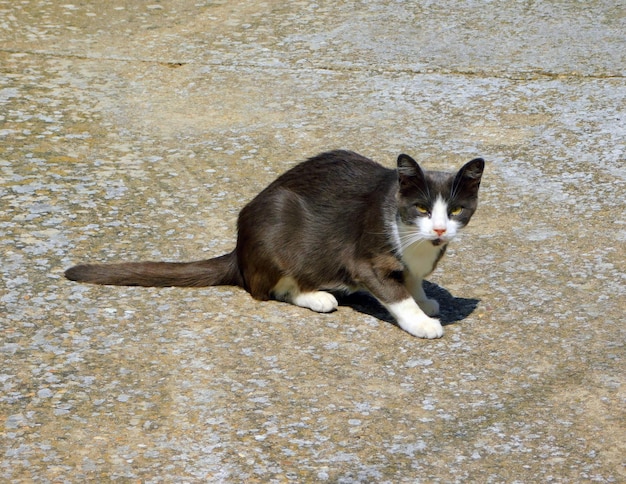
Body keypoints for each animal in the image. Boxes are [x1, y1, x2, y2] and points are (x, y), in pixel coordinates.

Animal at [64, 150, 482, 336]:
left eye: (456, 210)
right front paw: (421, 320)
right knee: (269, 289)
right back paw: (318, 296)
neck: (418, 244)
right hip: (280, 224)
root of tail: (239, 252)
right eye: (422, 208)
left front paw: (424, 299)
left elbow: (412, 279)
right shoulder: (366, 258)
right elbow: (394, 292)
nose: (440, 231)